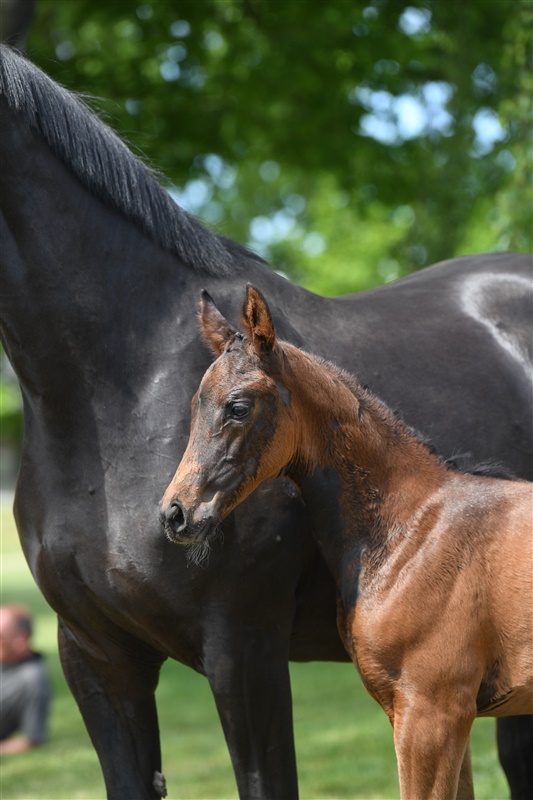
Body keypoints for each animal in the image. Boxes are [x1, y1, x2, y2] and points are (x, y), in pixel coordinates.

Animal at [161, 285, 533, 800]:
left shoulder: (433, 711)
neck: (412, 531)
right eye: (196, 403)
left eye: (238, 406)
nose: (175, 514)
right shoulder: (434, 714)